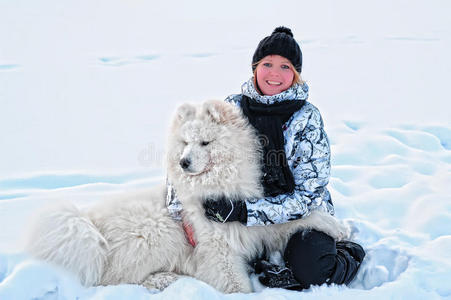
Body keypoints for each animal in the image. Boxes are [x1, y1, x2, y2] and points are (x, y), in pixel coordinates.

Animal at [25, 101, 350, 292]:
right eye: (184, 143)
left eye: (205, 142)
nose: (183, 162)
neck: (217, 186)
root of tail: (90, 226)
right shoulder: (218, 246)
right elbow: (235, 282)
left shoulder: (251, 221)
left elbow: (293, 217)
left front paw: (338, 227)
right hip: (155, 235)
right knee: (116, 280)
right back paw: (169, 280)